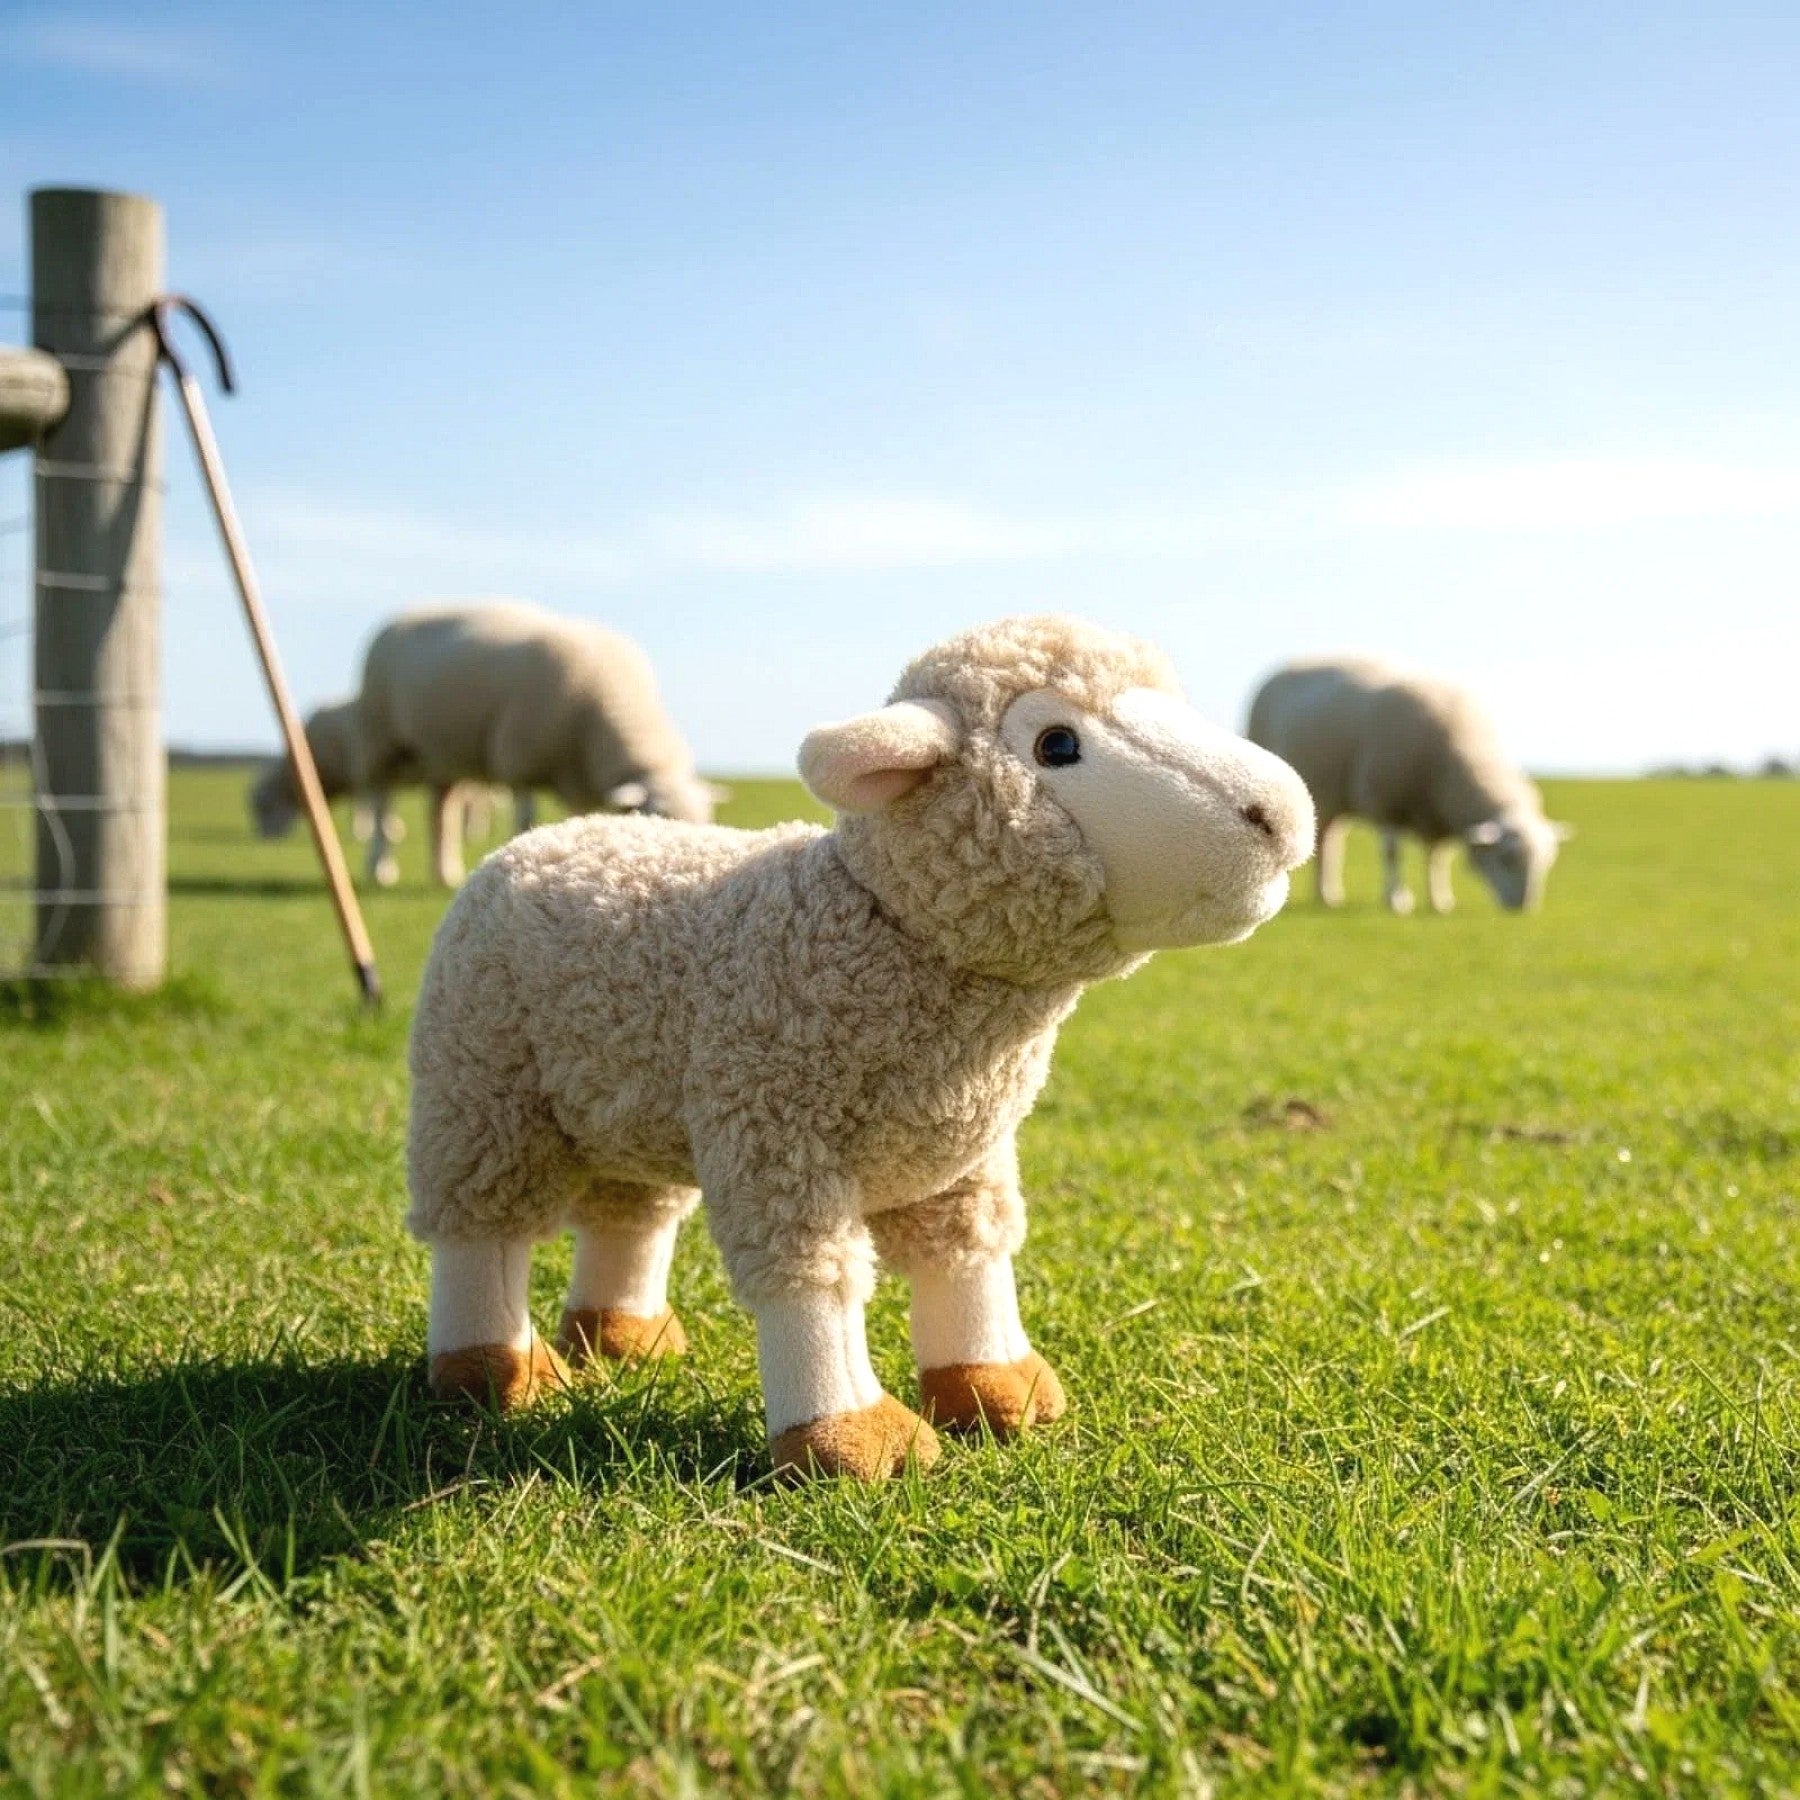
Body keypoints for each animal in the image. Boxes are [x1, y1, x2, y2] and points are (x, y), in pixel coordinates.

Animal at [248, 602, 719, 887]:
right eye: (660, 818)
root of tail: (402, 616)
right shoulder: (520, 758)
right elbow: (525, 818)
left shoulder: (575, 776)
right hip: (381, 739)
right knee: (382, 805)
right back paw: (380, 868)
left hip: (442, 758)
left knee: (440, 815)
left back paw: (446, 872)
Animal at [407, 614, 1315, 1481]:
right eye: (1056, 744)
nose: (1282, 814)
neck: (887, 929)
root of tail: (545, 838)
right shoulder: (778, 1133)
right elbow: (814, 1279)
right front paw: (851, 1436)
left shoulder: (960, 1155)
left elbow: (969, 1255)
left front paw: (999, 1386)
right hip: (481, 1081)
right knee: (484, 1230)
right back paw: (501, 1371)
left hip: (623, 1106)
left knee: (628, 1212)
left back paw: (624, 1335)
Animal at [1246, 657, 1573, 914]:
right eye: (1506, 859)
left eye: (1547, 861)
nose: (1524, 907)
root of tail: (1283, 667)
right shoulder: (1386, 801)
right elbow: (1393, 854)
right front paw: (1397, 901)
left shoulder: (1435, 814)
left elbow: (1437, 859)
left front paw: (1440, 900)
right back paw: (1325, 896)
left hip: (1331, 797)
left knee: (1329, 843)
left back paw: (1329, 895)